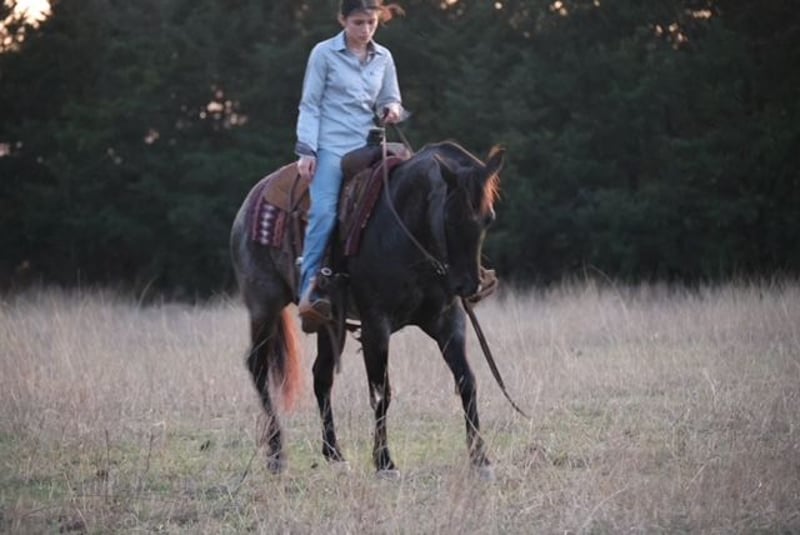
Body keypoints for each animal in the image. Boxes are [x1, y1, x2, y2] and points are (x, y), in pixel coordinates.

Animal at [229, 140, 505, 477]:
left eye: (488, 218)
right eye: (450, 218)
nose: (469, 286)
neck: (406, 230)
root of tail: (251, 200)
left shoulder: (448, 321)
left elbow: (467, 381)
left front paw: (481, 459)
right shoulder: (376, 326)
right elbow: (381, 392)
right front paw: (385, 462)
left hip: (328, 324)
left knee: (321, 376)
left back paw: (334, 454)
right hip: (263, 306)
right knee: (258, 366)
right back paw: (277, 454)